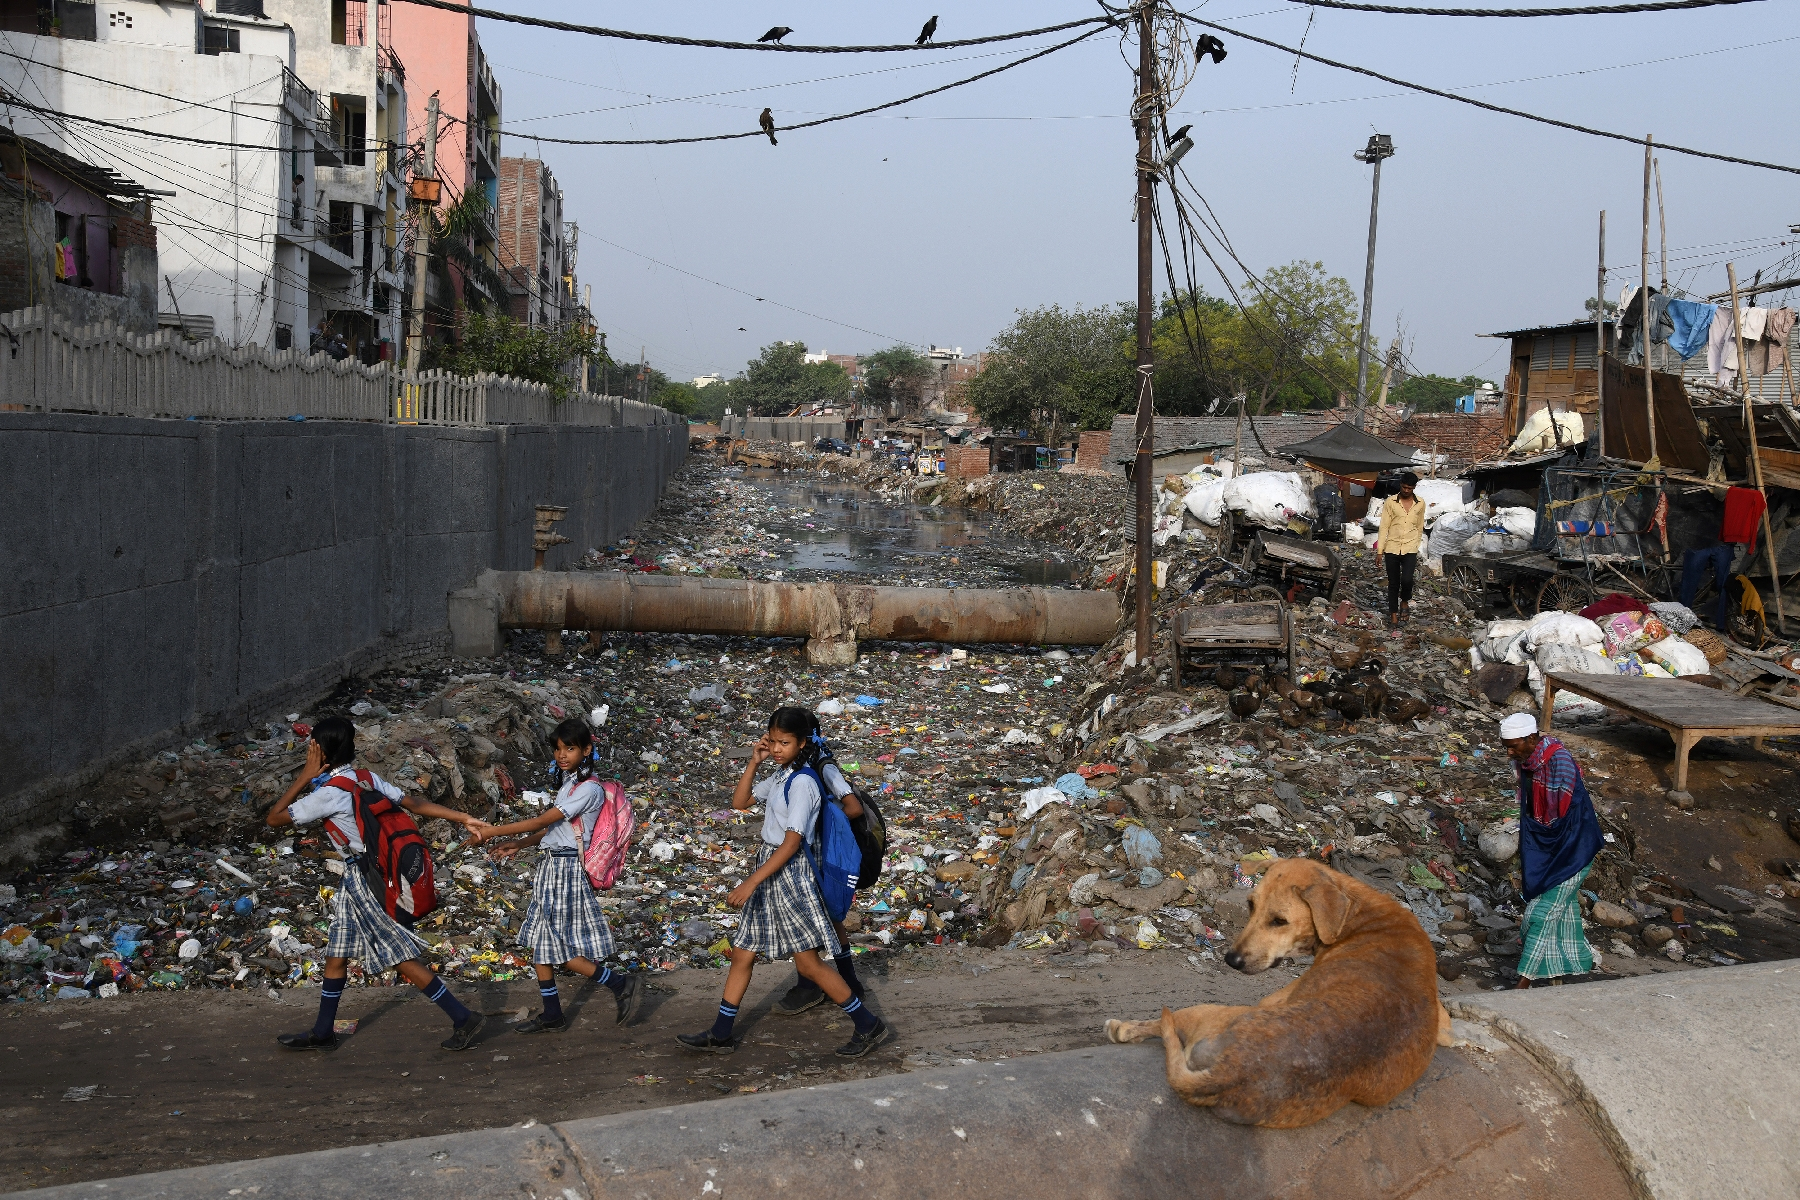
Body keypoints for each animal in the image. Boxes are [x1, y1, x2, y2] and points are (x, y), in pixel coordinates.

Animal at [1101, 863, 1454, 1129]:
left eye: (1280, 921)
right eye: (1250, 905)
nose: (1231, 960)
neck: (1361, 915)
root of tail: (1234, 1071)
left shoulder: (1271, 999)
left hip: (1209, 1011)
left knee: (1161, 1024)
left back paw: (1122, 1027)